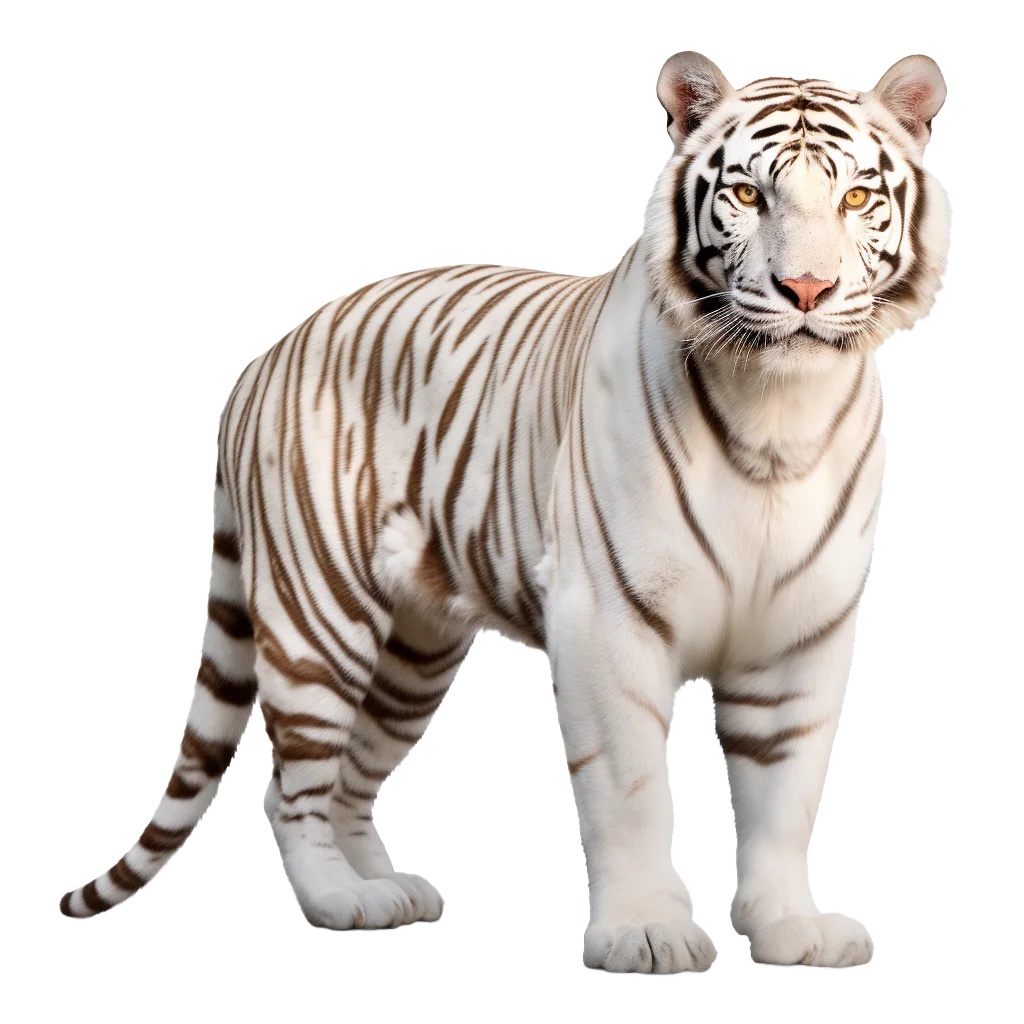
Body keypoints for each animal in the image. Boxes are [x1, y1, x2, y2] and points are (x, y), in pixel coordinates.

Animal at [58, 50, 950, 973]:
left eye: (856, 199)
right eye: (747, 195)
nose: (806, 287)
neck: (777, 416)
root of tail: (268, 354)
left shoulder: (801, 628)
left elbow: (784, 788)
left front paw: (787, 927)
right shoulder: (607, 616)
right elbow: (632, 787)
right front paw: (647, 932)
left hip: (413, 649)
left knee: (350, 779)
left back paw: (390, 890)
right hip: (319, 620)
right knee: (292, 781)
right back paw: (338, 898)